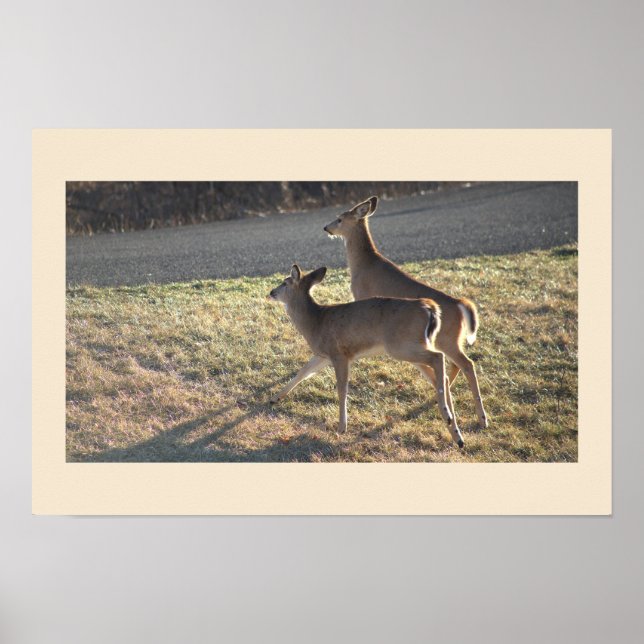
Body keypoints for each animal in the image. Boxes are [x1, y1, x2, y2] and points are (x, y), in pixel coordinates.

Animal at [268, 264, 465, 448]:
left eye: (285, 282)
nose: (271, 292)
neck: (315, 322)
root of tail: (430, 308)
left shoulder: (339, 354)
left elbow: (342, 389)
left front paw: (342, 427)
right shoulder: (323, 354)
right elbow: (302, 373)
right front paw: (275, 398)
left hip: (400, 346)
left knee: (438, 357)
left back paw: (448, 417)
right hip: (412, 345)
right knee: (442, 375)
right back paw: (457, 435)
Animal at [324, 196, 488, 430]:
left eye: (339, 219)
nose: (326, 227)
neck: (362, 264)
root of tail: (460, 305)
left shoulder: (361, 296)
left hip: (446, 339)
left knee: (467, 364)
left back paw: (482, 418)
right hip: (449, 340)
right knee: (457, 364)